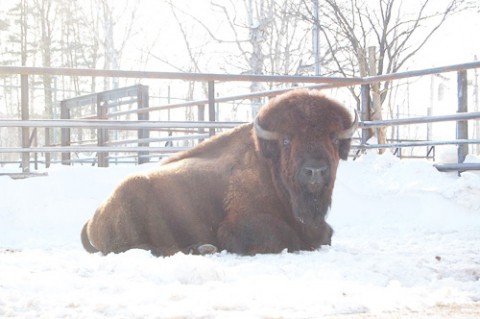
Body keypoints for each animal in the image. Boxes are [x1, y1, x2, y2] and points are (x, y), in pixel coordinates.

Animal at [81, 90, 356, 258]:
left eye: (333, 138)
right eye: (287, 139)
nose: (315, 170)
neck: (270, 169)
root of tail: (94, 216)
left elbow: (326, 235)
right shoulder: (239, 225)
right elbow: (288, 238)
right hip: (132, 201)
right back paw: (202, 248)